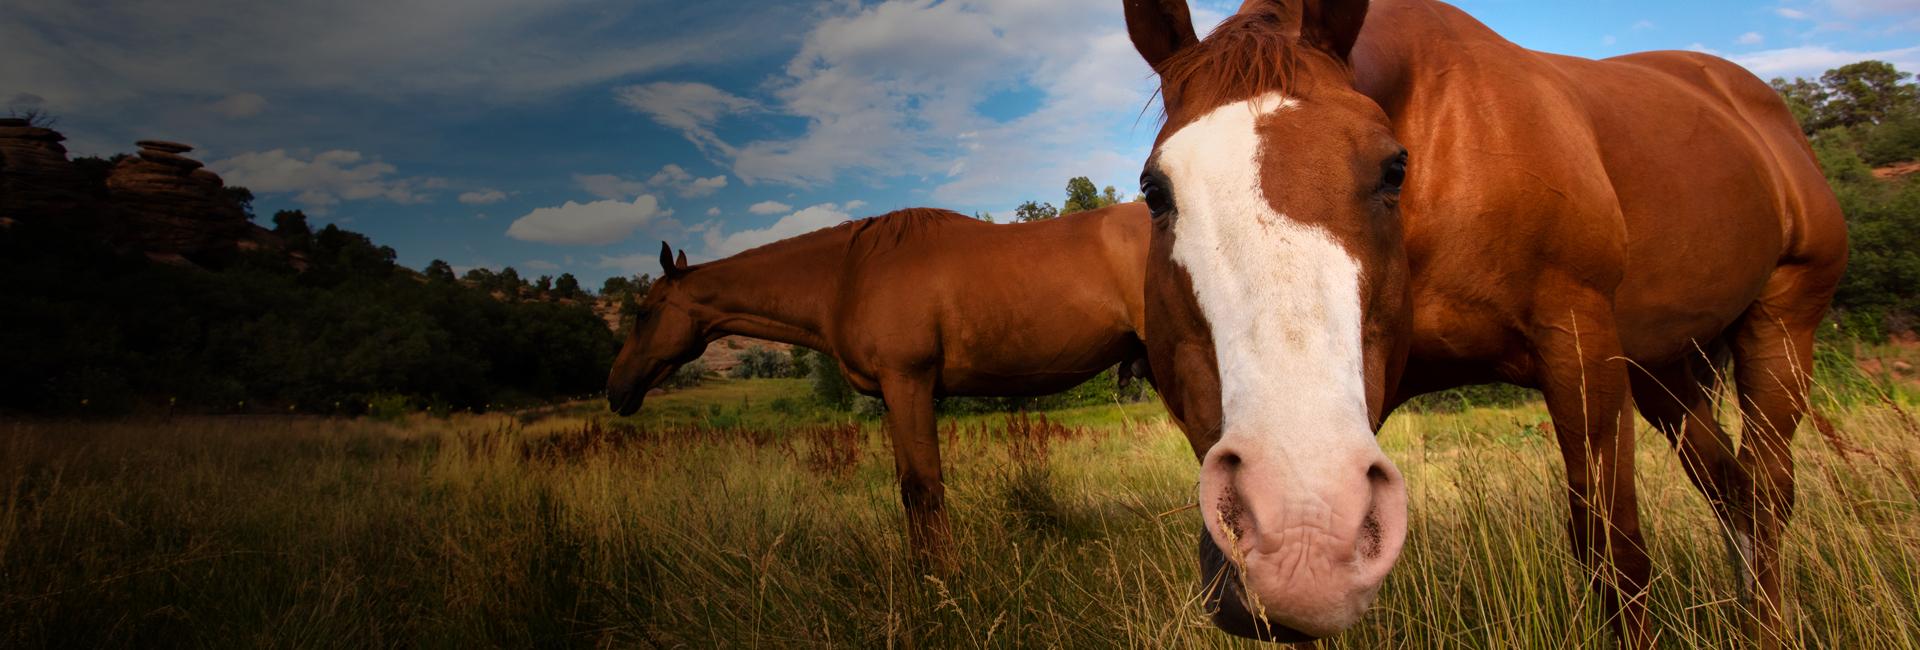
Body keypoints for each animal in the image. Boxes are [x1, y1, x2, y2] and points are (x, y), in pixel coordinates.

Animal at [606, 203, 1153, 567]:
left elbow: (926, 489)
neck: (847, 276)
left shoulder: (908, 382)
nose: (615, 389)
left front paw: (946, 582)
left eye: (644, 312)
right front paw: (923, 577)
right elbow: (909, 491)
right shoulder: (893, 396)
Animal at [1121, 0, 1846, 645]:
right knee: (1731, 490)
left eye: (1393, 169)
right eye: (1155, 191)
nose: (1298, 522)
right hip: (1667, 369)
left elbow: (1616, 557)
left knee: (1764, 493)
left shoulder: (1582, 349)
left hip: (1780, 327)